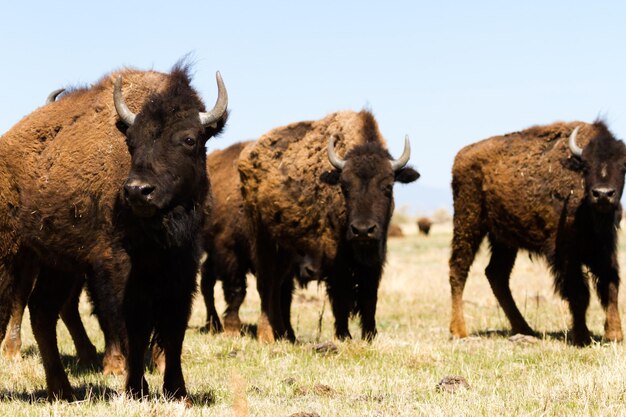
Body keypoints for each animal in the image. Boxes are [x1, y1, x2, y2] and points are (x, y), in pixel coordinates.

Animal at [0, 62, 227, 400]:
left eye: (189, 139)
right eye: (131, 142)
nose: (137, 191)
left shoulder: (182, 265)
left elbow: (174, 326)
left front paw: (178, 392)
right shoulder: (119, 266)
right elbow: (133, 325)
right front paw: (136, 388)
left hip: (59, 263)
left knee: (42, 311)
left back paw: (63, 391)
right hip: (14, 254)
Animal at [239, 109, 420, 342]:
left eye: (388, 186)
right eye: (344, 186)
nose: (363, 230)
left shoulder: (374, 260)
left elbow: (369, 298)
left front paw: (369, 335)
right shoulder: (336, 262)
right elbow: (340, 298)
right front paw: (344, 336)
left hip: (285, 253)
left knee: (279, 289)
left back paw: (286, 335)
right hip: (264, 244)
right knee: (267, 286)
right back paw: (267, 335)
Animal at [448, 119, 624, 344]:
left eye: (623, 166)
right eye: (586, 166)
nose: (602, 194)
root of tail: (461, 155)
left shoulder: (604, 249)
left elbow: (611, 285)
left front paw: (614, 334)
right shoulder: (565, 255)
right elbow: (579, 293)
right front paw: (582, 336)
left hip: (504, 240)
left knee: (496, 275)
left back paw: (524, 328)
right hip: (468, 222)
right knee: (458, 269)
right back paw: (459, 331)